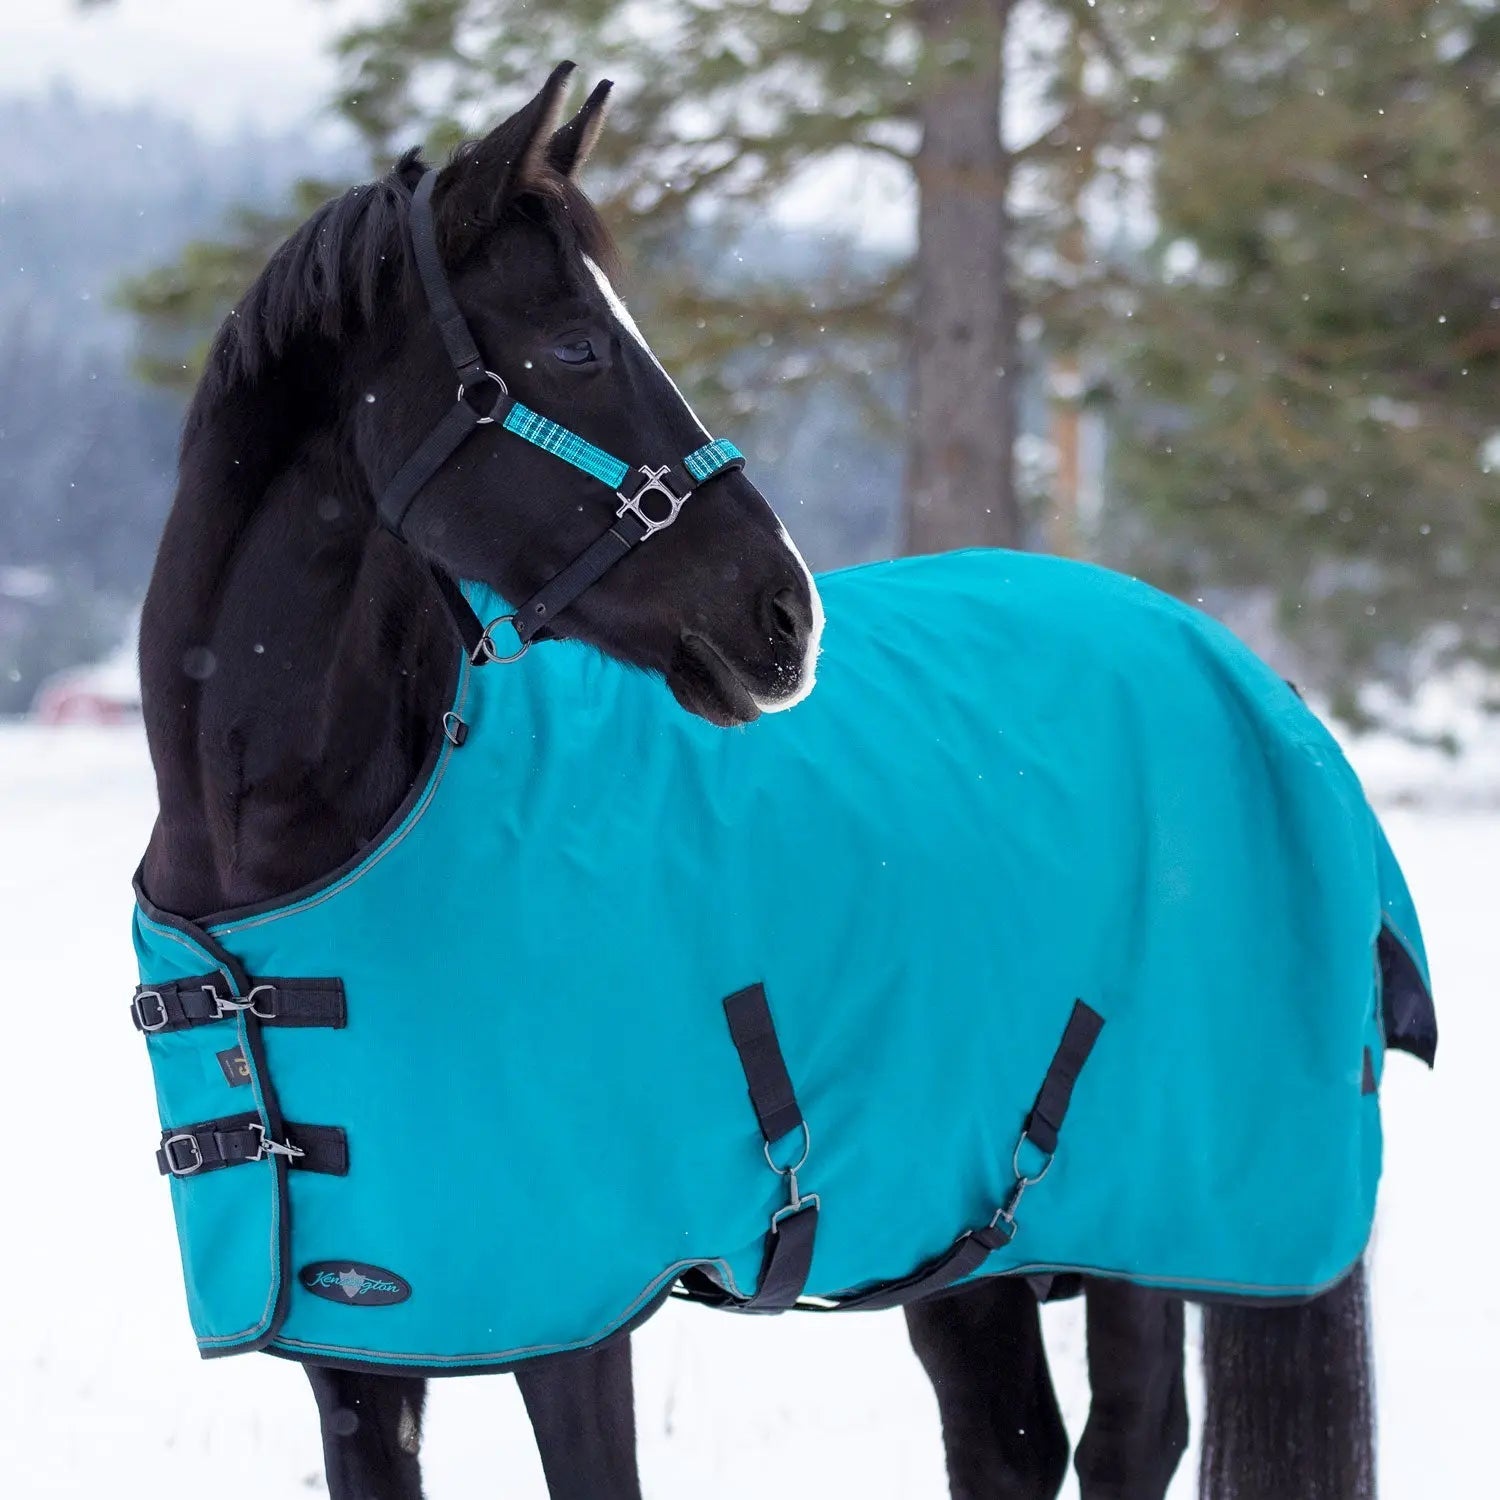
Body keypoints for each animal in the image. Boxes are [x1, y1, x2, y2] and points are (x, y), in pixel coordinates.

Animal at [134, 63, 1423, 1500]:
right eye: (576, 351)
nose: (783, 615)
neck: (305, 853)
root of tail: (1261, 683)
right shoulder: (361, 1351)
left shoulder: (576, 1317)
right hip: (965, 1242)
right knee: (1008, 1444)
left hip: (1150, 1215)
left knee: (1128, 1437)